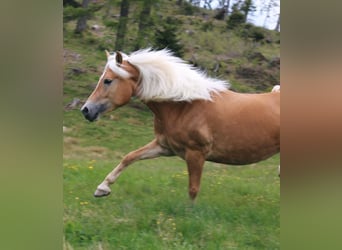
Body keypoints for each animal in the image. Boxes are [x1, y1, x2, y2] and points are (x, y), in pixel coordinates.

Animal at [81, 48, 280, 201]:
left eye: (107, 80)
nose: (86, 110)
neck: (184, 106)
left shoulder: (196, 154)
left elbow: (193, 190)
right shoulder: (165, 146)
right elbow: (130, 157)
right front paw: (102, 188)